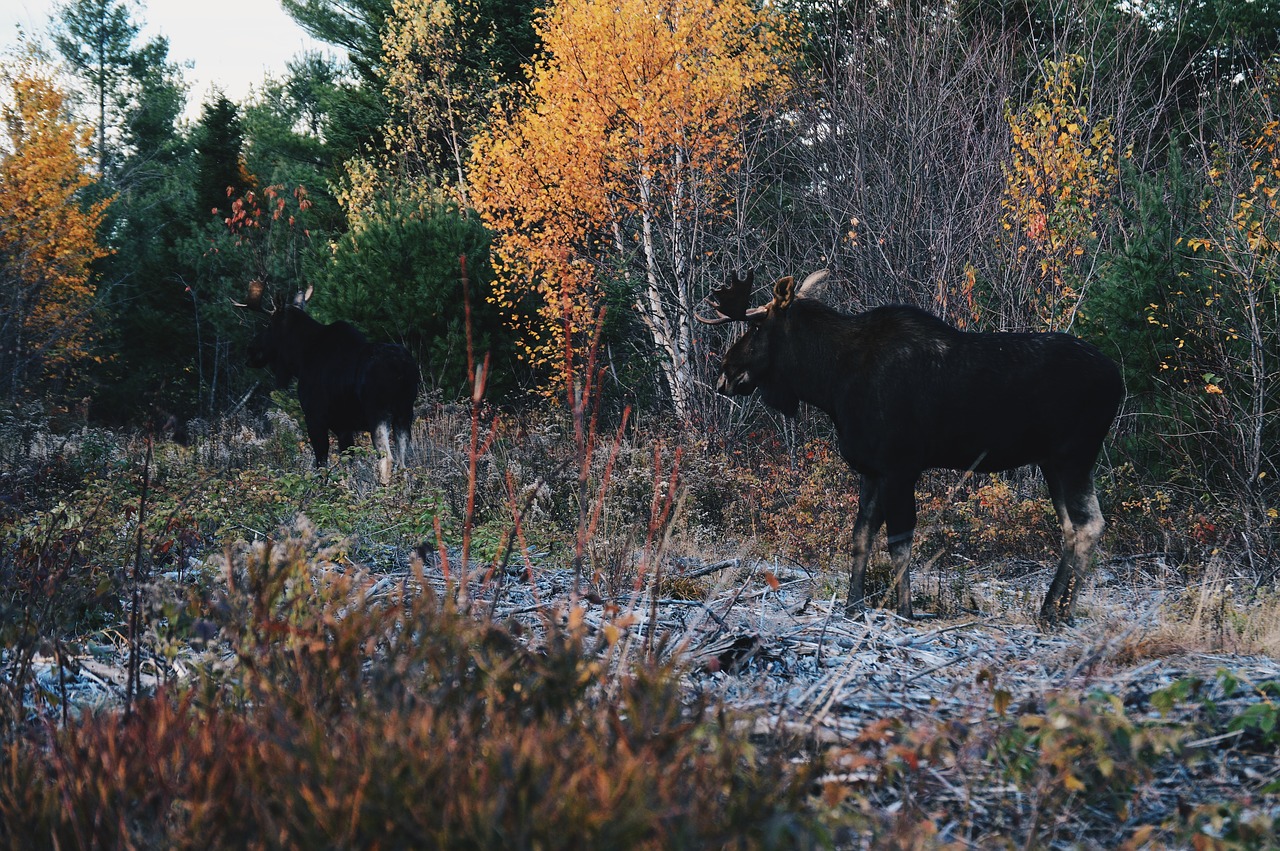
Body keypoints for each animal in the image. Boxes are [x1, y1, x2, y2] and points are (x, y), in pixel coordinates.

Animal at [241, 284, 417, 483]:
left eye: (269, 325)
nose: (250, 351)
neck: (300, 360)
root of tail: (402, 367)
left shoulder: (315, 418)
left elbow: (321, 464)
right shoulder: (343, 426)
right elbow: (348, 464)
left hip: (379, 413)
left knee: (387, 459)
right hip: (405, 413)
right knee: (403, 462)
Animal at [696, 268, 1126, 627]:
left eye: (755, 328)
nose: (724, 375)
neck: (831, 381)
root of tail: (1118, 380)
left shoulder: (900, 466)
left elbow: (899, 542)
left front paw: (904, 611)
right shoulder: (872, 469)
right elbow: (861, 536)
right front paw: (853, 606)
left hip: (1073, 456)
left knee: (1089, 524)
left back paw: (1058, 611)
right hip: (1053, 462)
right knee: (1072, 527)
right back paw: (1054, 608)